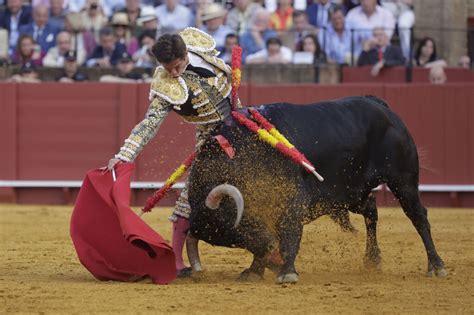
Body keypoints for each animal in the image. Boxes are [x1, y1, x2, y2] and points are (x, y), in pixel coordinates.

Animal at [185, 95, 444, 284]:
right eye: (229, 240)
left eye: (233, 220)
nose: (268, 248)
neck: (241, 150)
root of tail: (379, 104)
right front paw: (255, 270)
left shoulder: (292, 198)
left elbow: (290, 232)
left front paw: (287, 272)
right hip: (351, 192)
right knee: (371, 210)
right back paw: (372, 259)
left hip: (403, 180)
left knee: (418, 216)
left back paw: (436, 265)